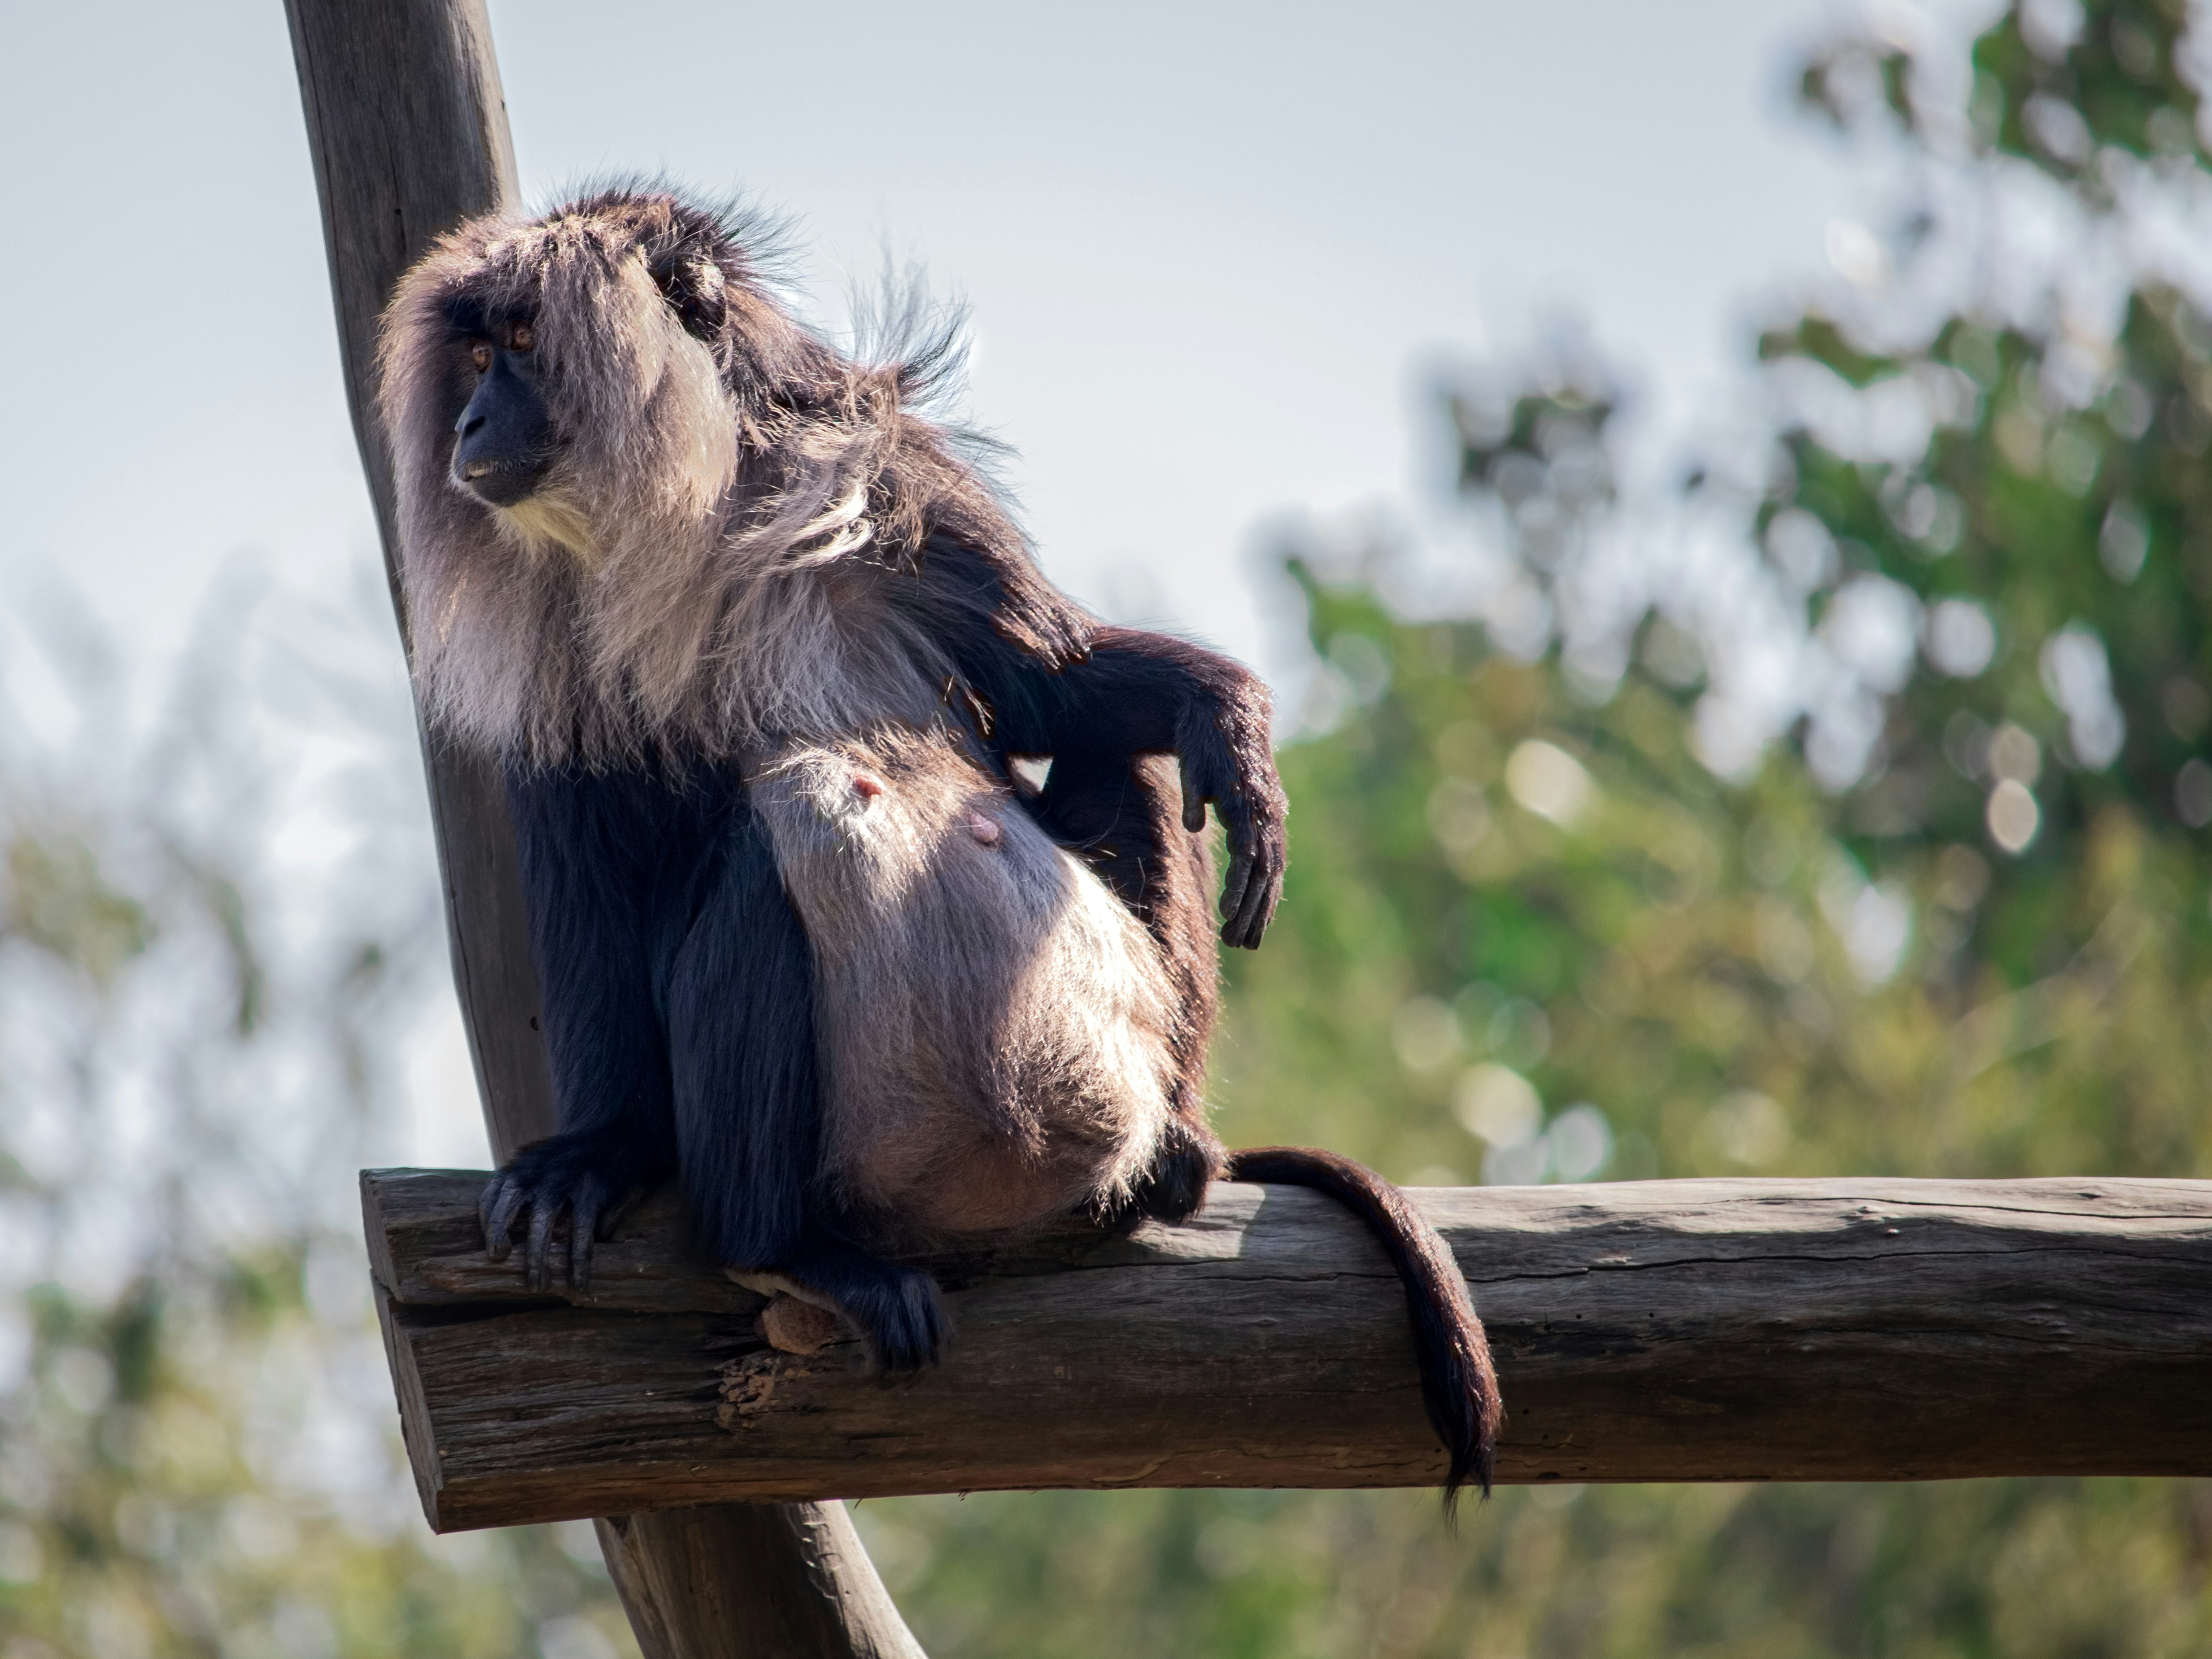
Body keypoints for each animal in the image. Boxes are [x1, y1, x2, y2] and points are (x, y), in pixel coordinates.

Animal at [376, 186, 1501, 1502]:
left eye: (517, 350)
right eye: (477, 364)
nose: (470, 422)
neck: (701, 523)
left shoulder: (904, 481)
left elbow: (1052, 689)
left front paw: (1232, 725)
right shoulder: (560, 636)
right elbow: (592, 869)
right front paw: (597, 1150)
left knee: (1129, 761)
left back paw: (1172, 1152)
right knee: (755, 866)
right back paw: (786, 1250)